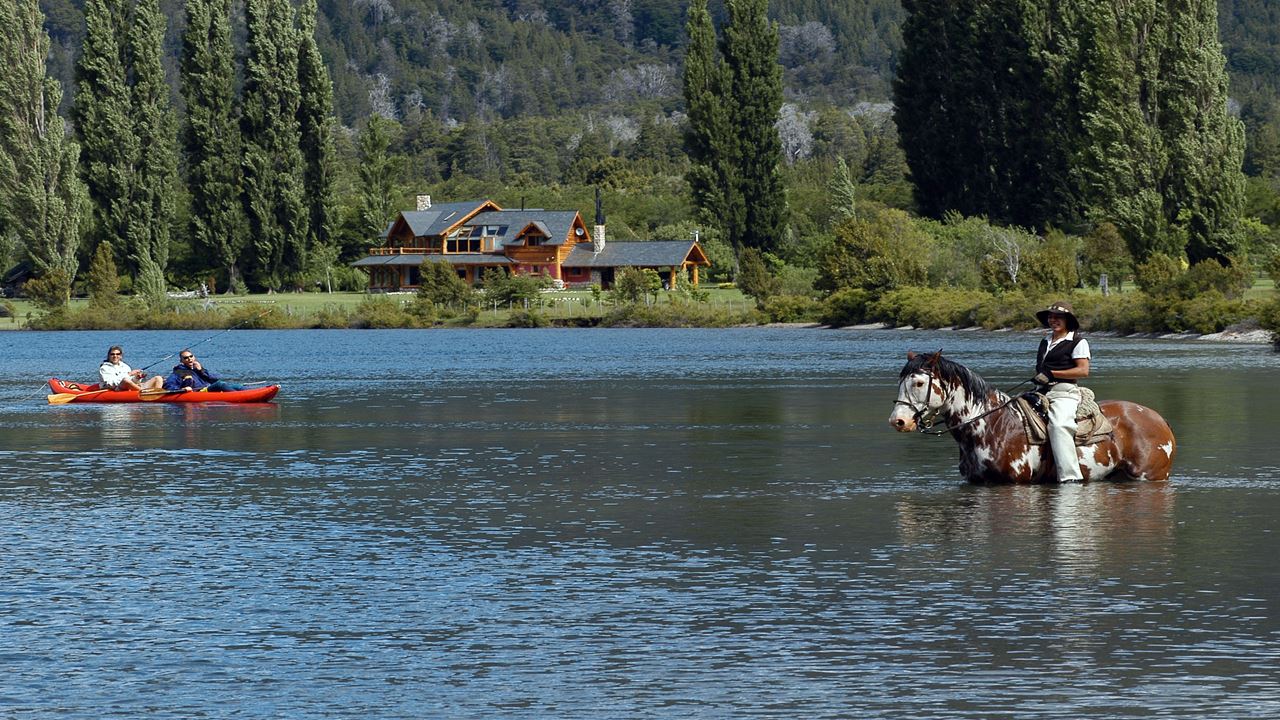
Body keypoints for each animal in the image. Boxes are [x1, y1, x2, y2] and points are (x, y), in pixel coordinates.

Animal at [888, 351, 1176, 484]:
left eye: (919, 382)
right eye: (901, 381)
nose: (898, 421)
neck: (992, 426)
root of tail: (1159, 419)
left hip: (1149, 476)